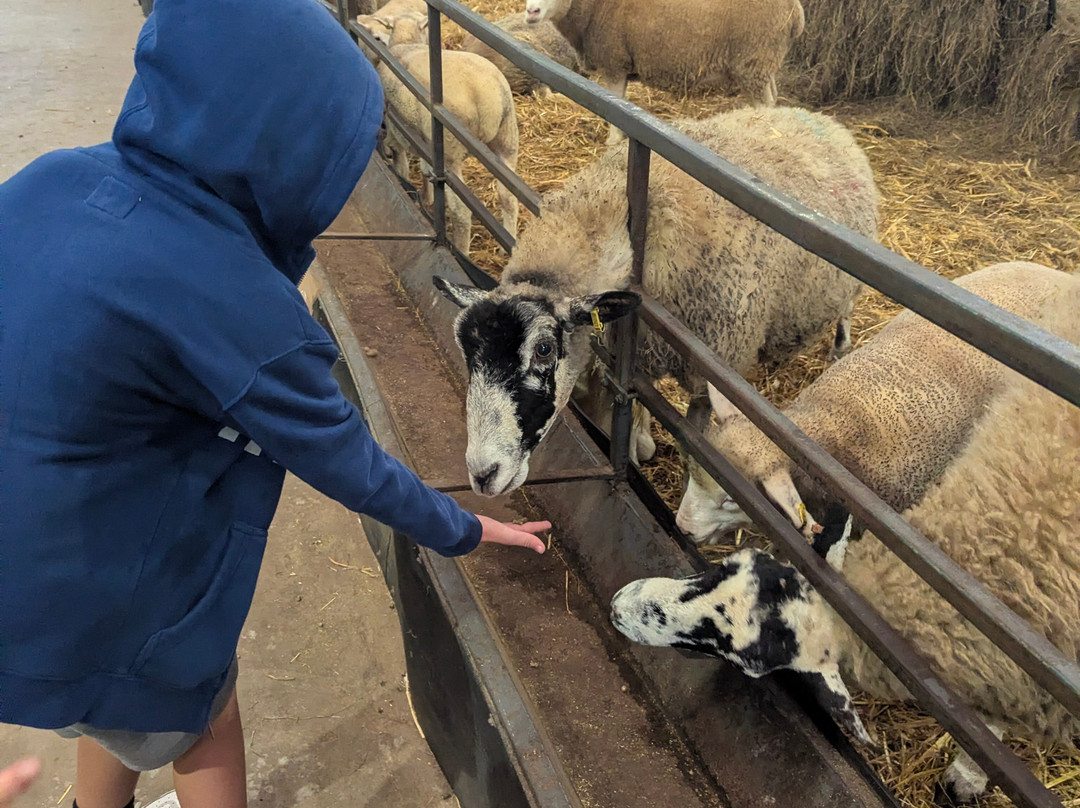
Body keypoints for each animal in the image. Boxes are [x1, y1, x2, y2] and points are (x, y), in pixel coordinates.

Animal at [364, 16, 520, 255]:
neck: (406, 42)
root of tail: (482, 94)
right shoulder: (422, 139)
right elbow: (424, 168)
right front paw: (427, 198)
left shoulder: (396, 133)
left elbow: (403, 167)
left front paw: (411, 191)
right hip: (507, 138)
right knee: (509, 197)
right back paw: (508, 248)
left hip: (450, 154)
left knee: (462, 210)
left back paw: (461, 249)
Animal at [432, 106, 878, 497]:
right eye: (465, 352)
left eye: (543, 349)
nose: (482, 475)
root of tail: (826, 121)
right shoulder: (636, 355)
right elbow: (631, 411)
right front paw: (638, 448)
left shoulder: (711, 363)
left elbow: (692, 437)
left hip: (849, 285)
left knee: (845, 312)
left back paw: (840, 348)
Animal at [523, 0, 805, 142]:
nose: (531, 11)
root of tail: (797, 14)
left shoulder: (614, 63)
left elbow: (615, 109)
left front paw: (613, 142)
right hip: (762, 66)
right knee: (773, 97)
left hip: (754, 60)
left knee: (765, 104)